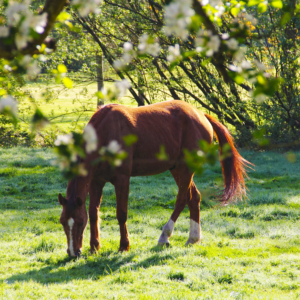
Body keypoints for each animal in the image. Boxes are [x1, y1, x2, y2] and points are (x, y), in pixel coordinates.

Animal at [57, 99, 250, 256]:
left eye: (79, 223)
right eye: (63, 222)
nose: (73, 253)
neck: (106, 134)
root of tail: (201, 114)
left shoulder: (122, 179)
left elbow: (121, 214)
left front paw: (123, 246)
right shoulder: (96, 181)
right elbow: (94, 213)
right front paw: (94, 247)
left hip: (186, 168)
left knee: (182, 199)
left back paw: (164, 237)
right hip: (176, 169)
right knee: (194, 197)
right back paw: (193, 238)